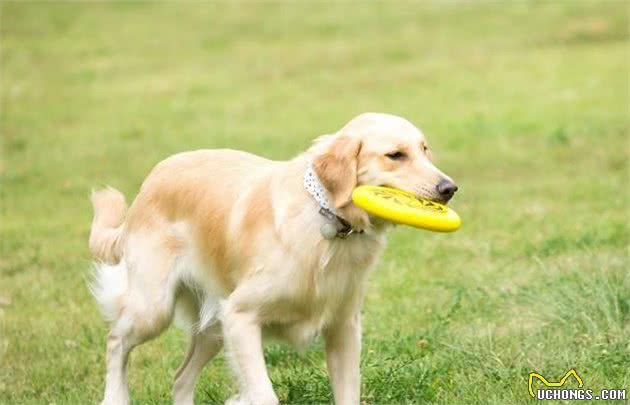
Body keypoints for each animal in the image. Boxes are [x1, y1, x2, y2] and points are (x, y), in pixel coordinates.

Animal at [89, 111, 460, 404]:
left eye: (424, 150)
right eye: (395, 155)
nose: (449, 188)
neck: (327, 221)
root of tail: (149, 183)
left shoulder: (343, 328)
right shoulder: (241, 317)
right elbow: (264, 394)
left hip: (213, 326)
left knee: (180, 378)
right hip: (156, 309)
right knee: (115, 341)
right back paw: (115, 397)